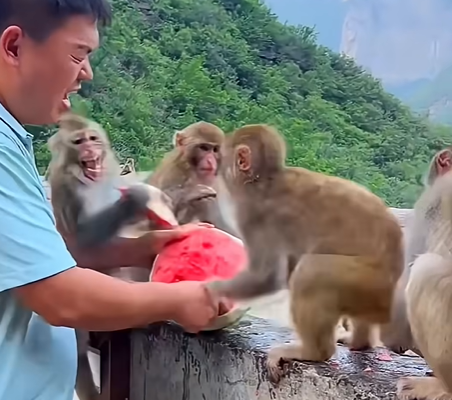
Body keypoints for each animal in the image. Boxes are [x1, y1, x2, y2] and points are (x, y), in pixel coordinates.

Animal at [205, 124, 404, 384]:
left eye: (220, 152)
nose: (213, 161)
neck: (264, 181)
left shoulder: (255, 216)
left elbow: (266, 277)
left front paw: (209, 290)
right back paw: (359, 342)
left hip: (367, 283)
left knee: (312, 272)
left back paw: (313, 352)